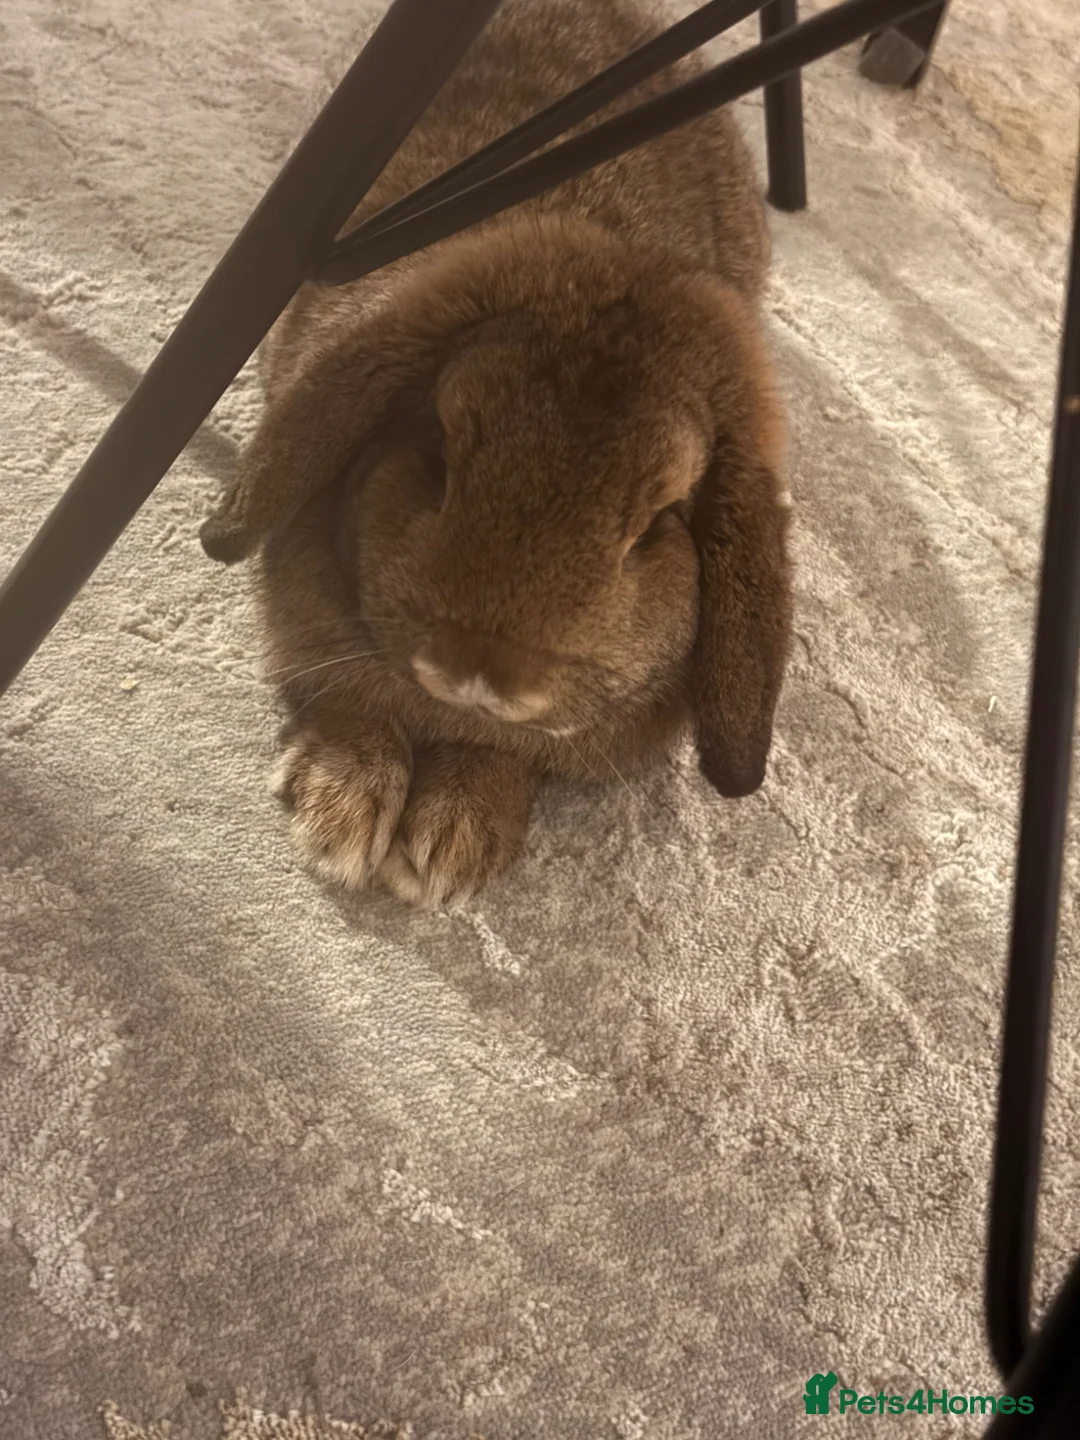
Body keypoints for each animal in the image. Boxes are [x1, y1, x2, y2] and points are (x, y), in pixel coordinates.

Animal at [199, 0, 795, 908]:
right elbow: (345, 699)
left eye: (655, 524)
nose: (483, 676)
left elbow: (505, 757)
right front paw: (342, 814)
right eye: (441, 453)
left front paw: (456, 843)